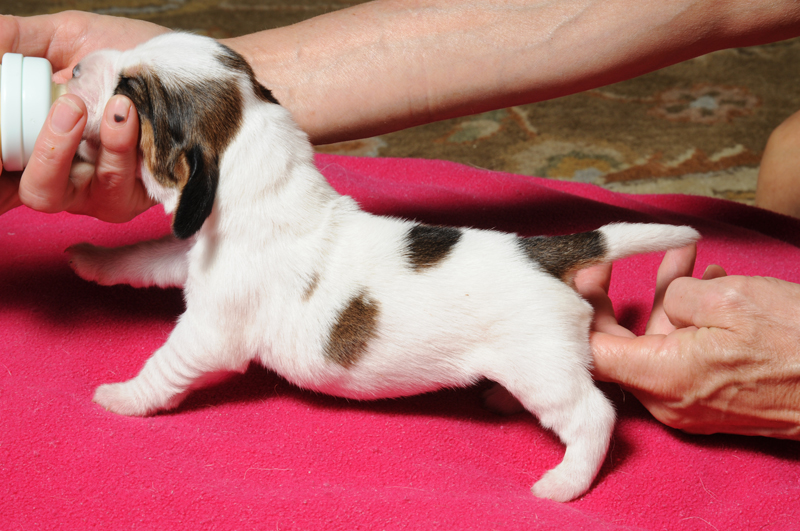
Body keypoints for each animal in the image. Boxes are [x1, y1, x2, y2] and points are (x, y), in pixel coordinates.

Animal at [67, 34, 700, 502]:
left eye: (127, 94)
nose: (73, 67)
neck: (262, 183)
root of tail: (541, 251)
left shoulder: (209, 334)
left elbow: (164, 366)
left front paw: (122, 398)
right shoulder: (189, 249)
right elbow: (149, 257)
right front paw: (93, 259)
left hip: (544, 368)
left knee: (594, 416)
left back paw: (565, 482)